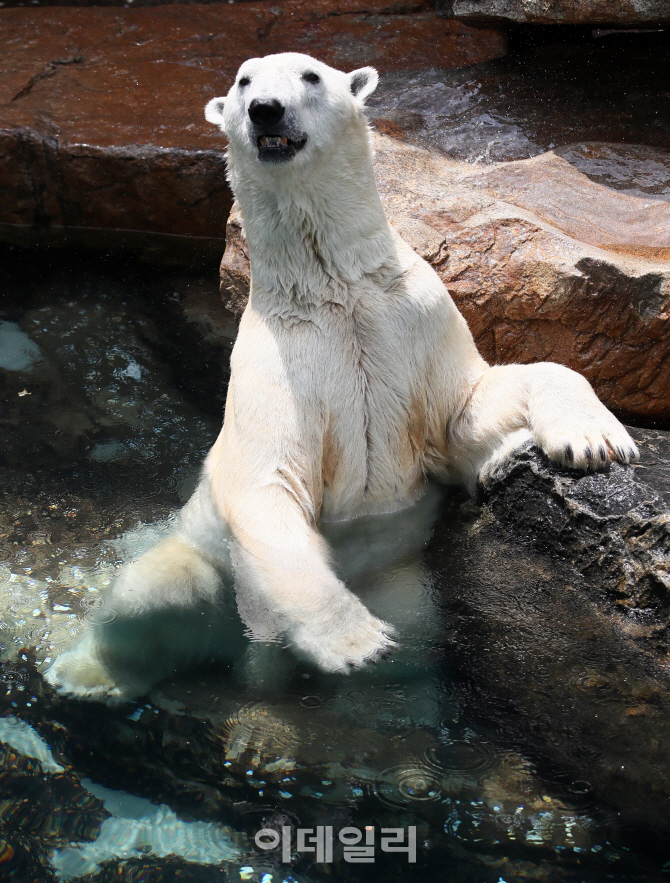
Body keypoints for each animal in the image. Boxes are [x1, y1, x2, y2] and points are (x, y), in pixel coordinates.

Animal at [47, 53, 640, 704]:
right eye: (244, 82)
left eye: (309, 75)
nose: (266, 111)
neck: (336, 290)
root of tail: (244, 652)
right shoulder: (278, 364)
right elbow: (267, 487)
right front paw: (356, 642)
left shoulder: (412, 320)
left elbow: (468, 409)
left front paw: (594, 442)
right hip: (205, 559)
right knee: (145, 596)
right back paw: (86, 674)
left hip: (398, 582)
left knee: (417, 641)